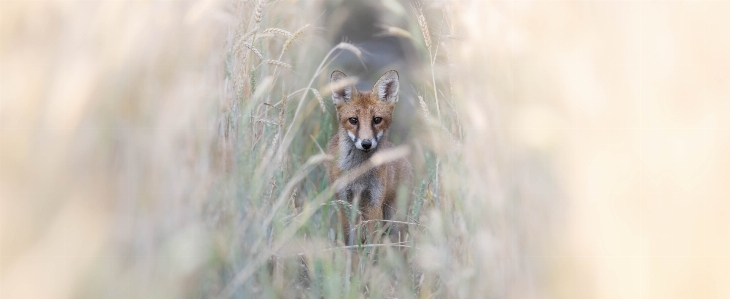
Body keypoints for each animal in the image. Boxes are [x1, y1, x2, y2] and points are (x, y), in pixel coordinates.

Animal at [324, 69, 410, 246]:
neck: (359, 174)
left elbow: (372, 240)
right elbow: (349, 239)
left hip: (394, 219)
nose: (366, 143)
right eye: (353, 120)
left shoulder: (373, 201)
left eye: (377, 120)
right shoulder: (345, 201)